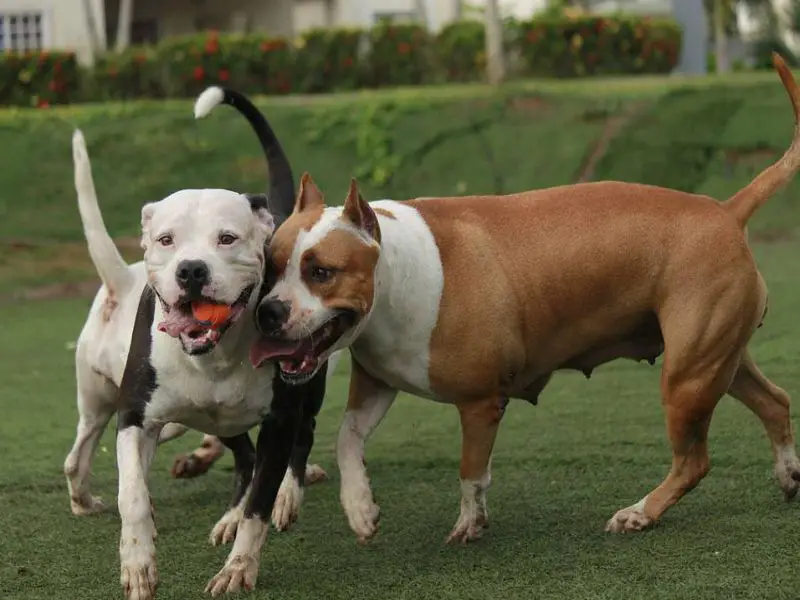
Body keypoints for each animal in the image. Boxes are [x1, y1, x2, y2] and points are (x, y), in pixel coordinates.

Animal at [65, 86, 344, 596]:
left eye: (227, 238)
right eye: (166, 240)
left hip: (304, 382)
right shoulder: (135, 417)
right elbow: (133, 494)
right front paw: (138, 562)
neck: (213, 356)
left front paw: (240, 566)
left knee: (300, 438)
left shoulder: (279, 419)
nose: (191, 270)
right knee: (241, 456)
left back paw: (287, 494)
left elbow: (260, 501)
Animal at [247, 55, 800, 544]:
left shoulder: (479, 402)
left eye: (321, 272)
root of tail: (725, 210)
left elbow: (471, 470)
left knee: (694, 461)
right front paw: (360, 508)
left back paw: (641, 513)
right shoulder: (378, 382)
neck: (393, 273)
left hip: (687, 377)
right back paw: (788, 474)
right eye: (269, 265)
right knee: (774, 401)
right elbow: (346, 437)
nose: (268, 312)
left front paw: (469, 524)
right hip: (716, 359)